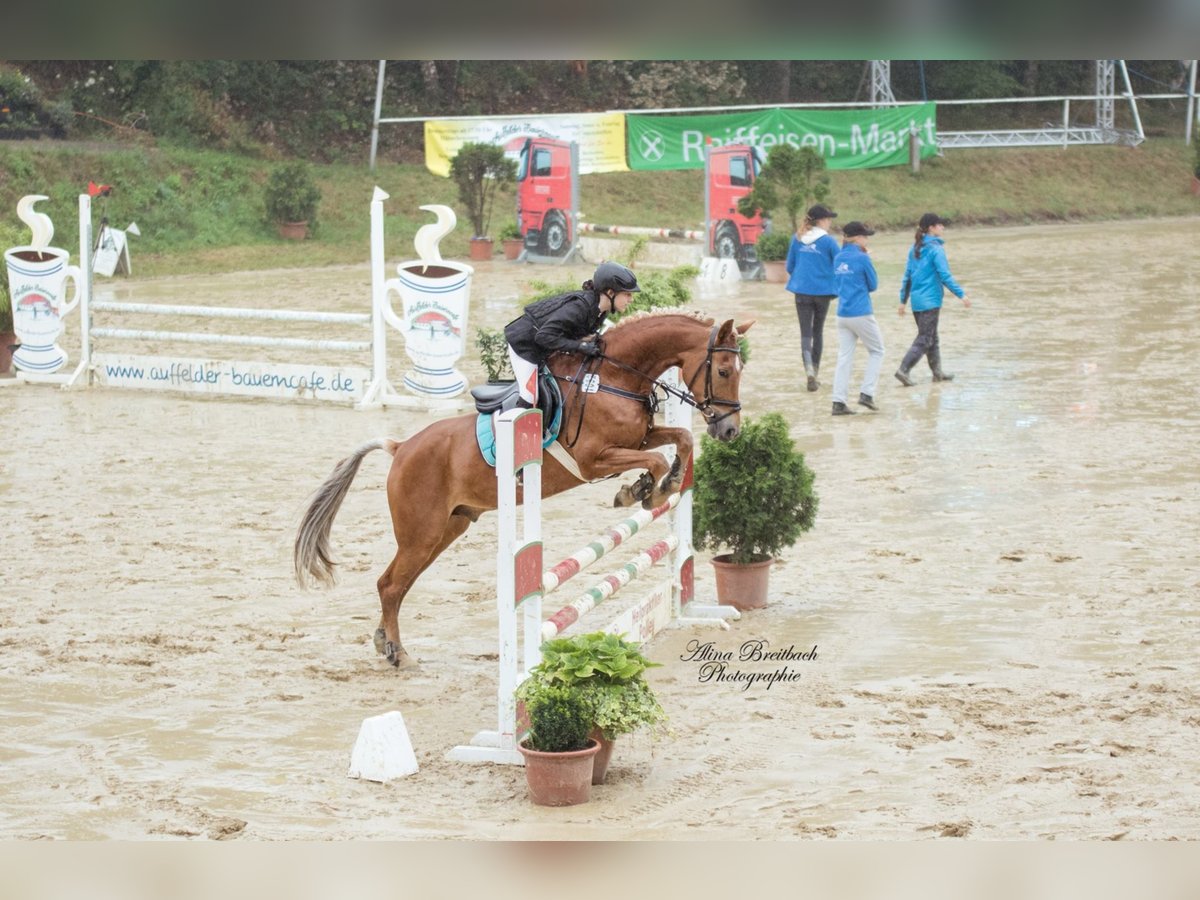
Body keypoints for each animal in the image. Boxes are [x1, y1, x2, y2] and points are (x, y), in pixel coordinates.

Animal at [292, 309, 748, 672]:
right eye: (724, 371)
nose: (729, 431)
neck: (612, 377)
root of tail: (401, 447)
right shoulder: (593, 460)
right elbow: (654, 460)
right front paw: (648, 490)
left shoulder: (639, 437)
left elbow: (680, 441)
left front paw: (652, 484)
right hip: (421, 533)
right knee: (390, 585)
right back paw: (399, 654)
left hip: (446, 529)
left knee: (396, 585)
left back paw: (385, 643)